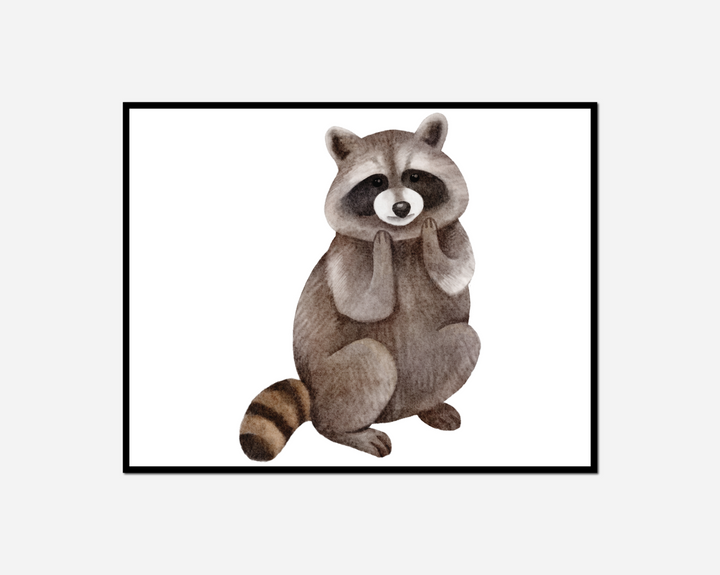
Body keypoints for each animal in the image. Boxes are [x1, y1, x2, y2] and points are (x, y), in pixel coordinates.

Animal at [240, 113, 480, 461]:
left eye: (414, 176)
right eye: (377, 181)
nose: (401, 209)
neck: (403, 236)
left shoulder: (454, 231)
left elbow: (458, 272)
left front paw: (430, 246)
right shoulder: (344, 252)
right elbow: (363, 305)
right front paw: (382, 252)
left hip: (424, 374)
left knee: (464, 340)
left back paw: (429, 406)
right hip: (335, 382)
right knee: (370, 359)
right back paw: (346, 431)